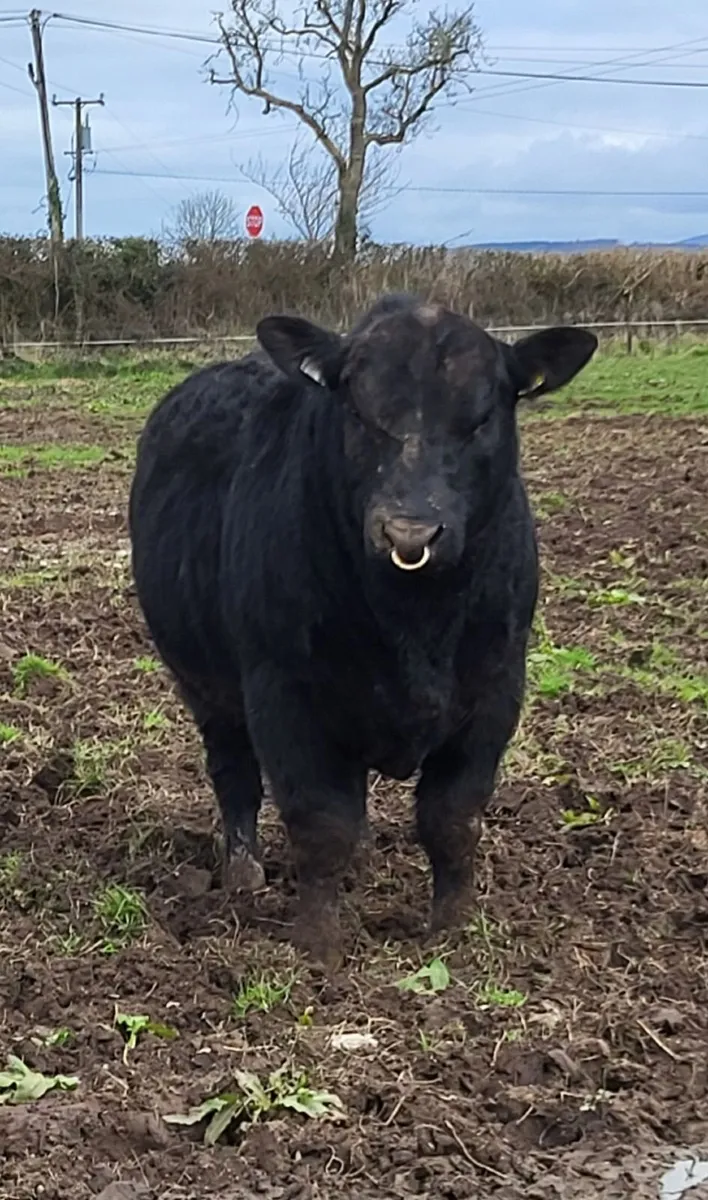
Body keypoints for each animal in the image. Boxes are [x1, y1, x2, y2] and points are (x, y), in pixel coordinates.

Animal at [128, 293, 597, 965]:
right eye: (357, 409)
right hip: (204, 682)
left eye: (483, 417)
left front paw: (451, 931)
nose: (409, 532)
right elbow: (321, 825)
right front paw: (320, 946)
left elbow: (453, 819)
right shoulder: (285, 695)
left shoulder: (495, 692)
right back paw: (243, 872)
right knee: (234, 770)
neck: (417, 623)